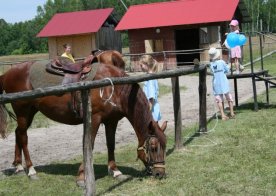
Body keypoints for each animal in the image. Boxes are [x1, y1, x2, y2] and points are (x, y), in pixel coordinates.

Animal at [0, 56, 167, 184]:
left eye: (165, 146)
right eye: (153, 147)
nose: (160, 173)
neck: (113, 87)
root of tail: (7, 73)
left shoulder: (111, 121)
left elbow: (111, 145)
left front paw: (115, 171)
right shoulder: (94, 119)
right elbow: (89, 145)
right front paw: (82, 176)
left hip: (29, 113)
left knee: (18, 133)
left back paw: (19, 167)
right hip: (23, 112)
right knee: (23, 137)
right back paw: (31, 170)